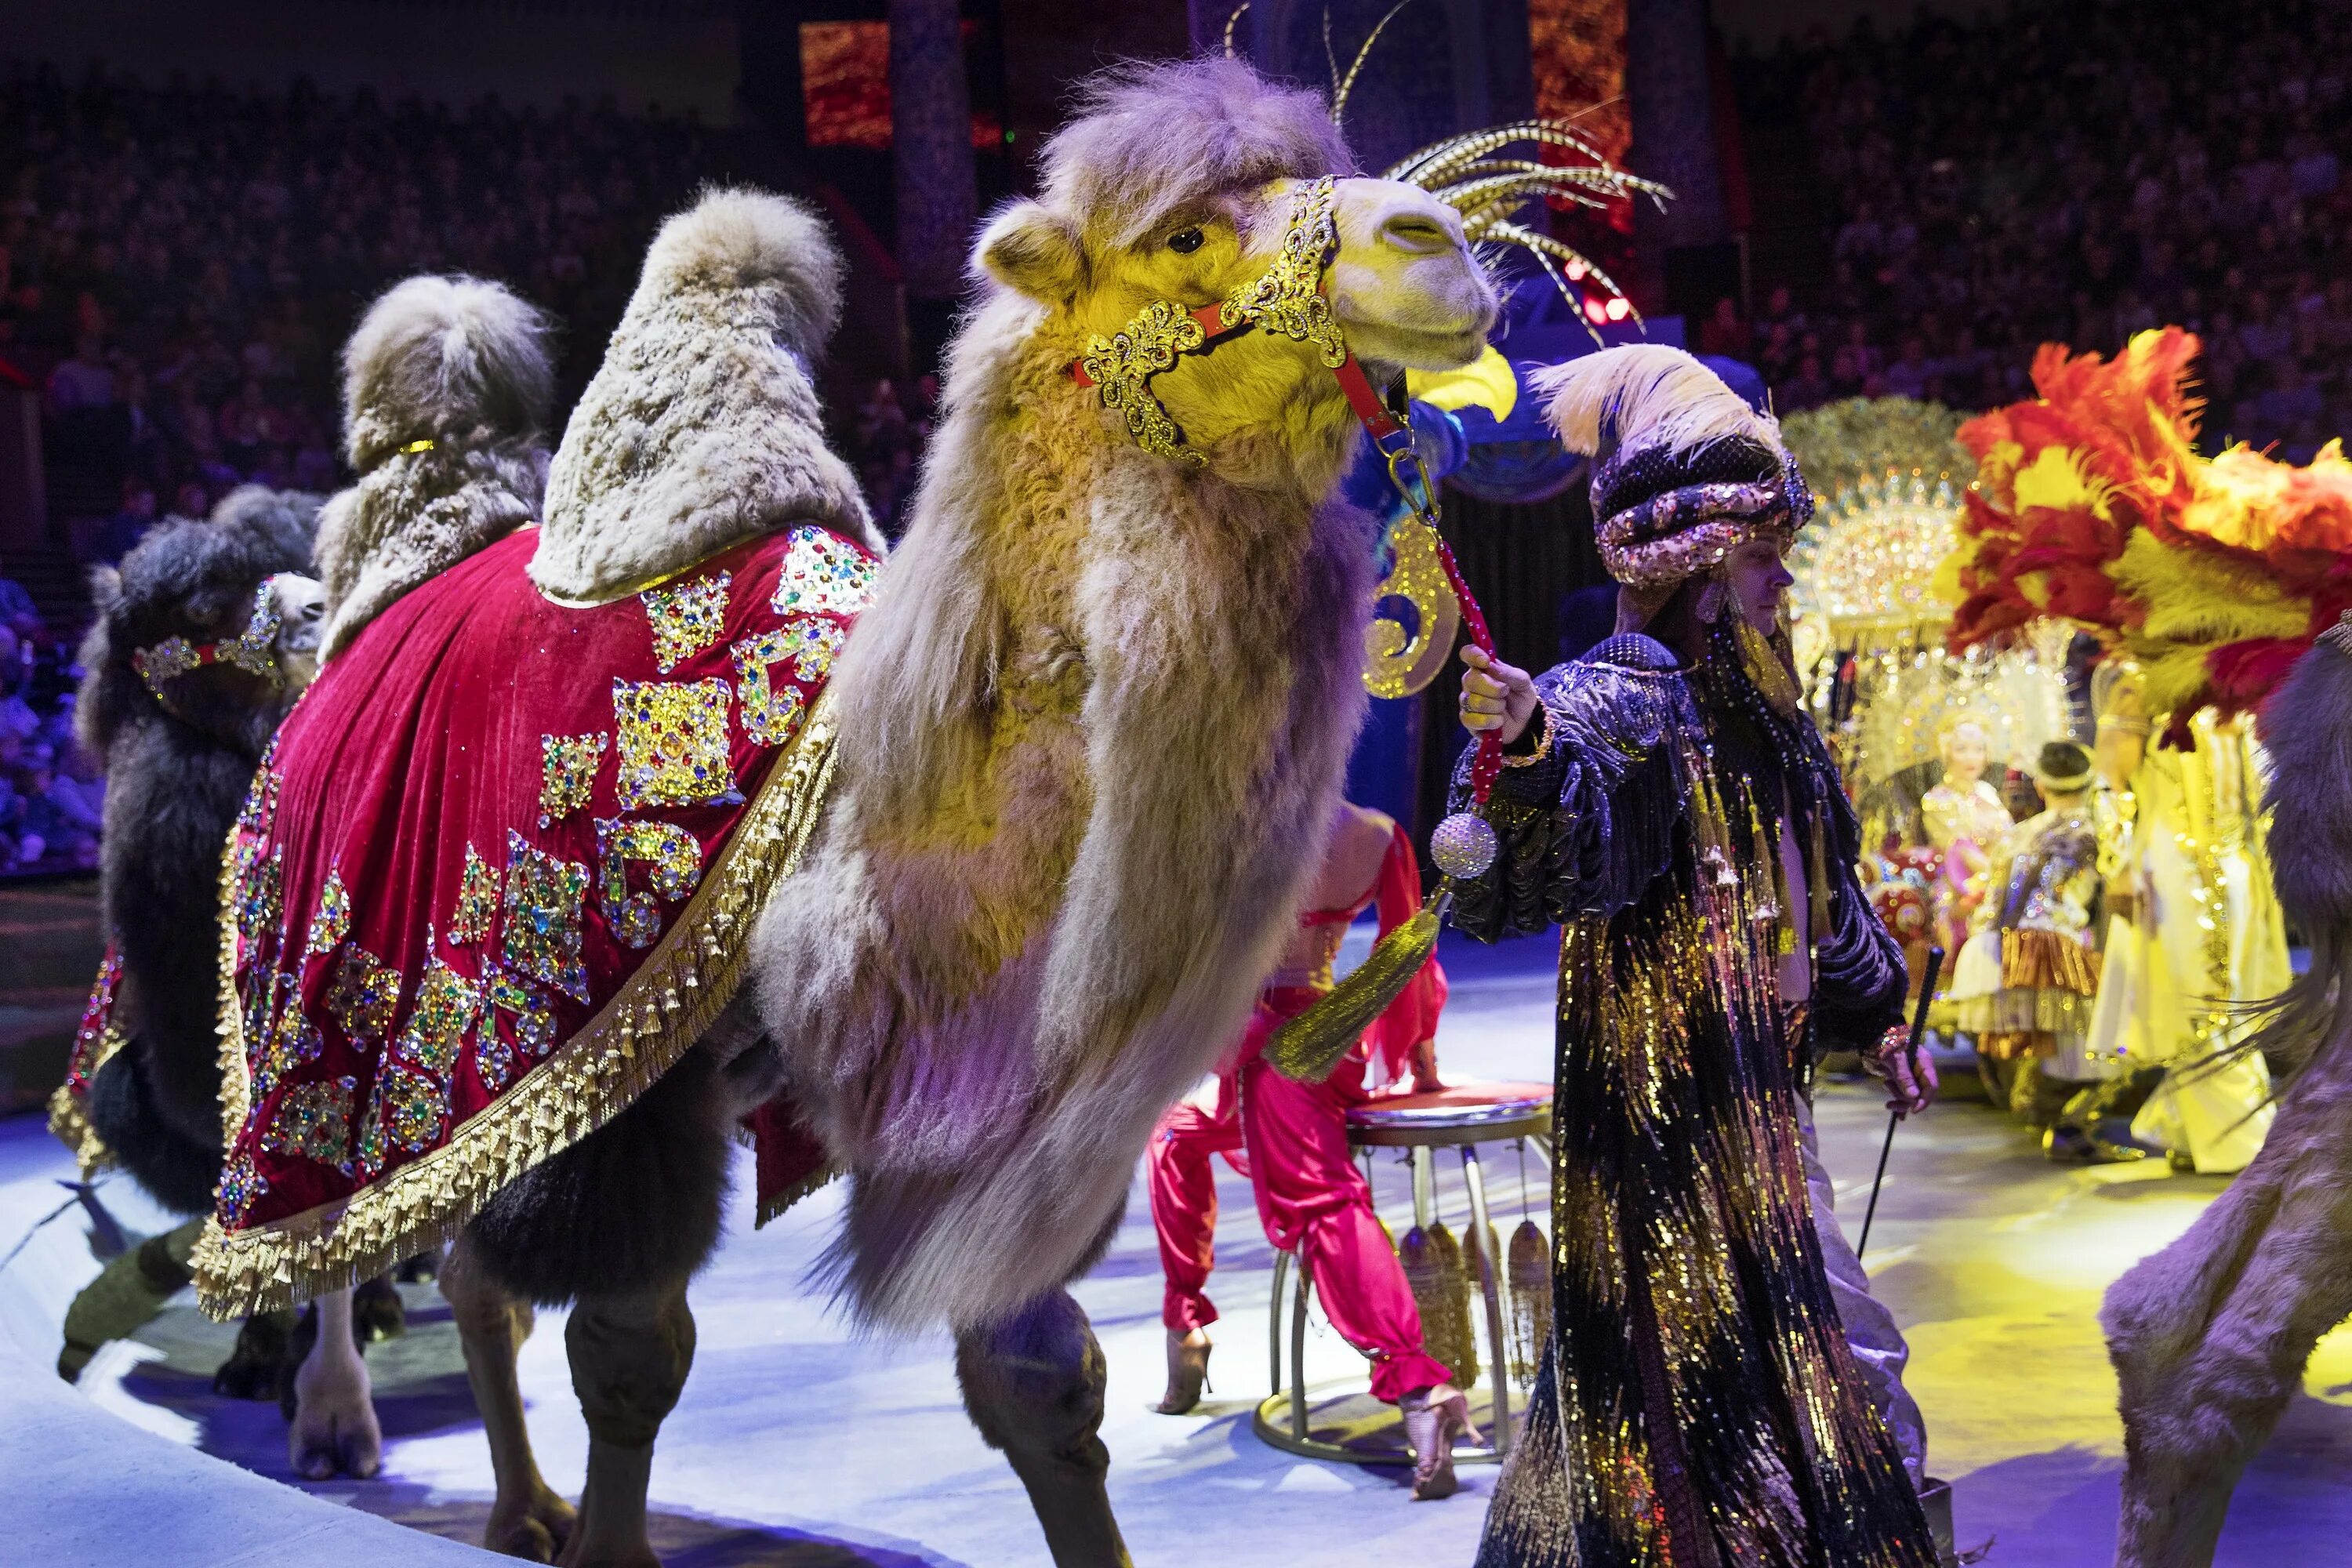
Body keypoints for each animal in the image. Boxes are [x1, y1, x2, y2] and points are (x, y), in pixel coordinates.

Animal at [229, 55, 1496, 1561]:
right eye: (1188, 233)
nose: (1438, 242)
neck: (849, 823)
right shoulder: (612, 1082)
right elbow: (629, 1351)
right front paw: (609, 1540)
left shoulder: (994, 1108)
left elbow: (1041, 1381)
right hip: (347, 1023)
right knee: (358, 1229)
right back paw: (353, 1434)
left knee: (472, 1274)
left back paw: (519, 1500)